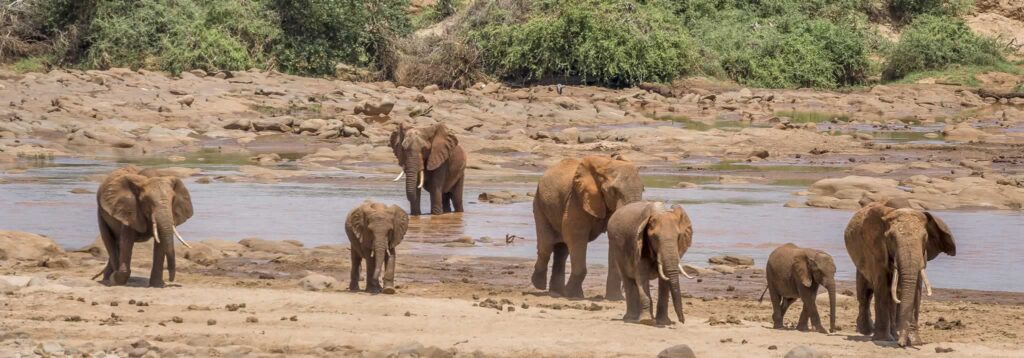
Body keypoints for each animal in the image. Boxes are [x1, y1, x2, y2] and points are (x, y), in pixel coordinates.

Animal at [532, 155, 643, 298]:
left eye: (643, 189)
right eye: (614, 191)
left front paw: (615, 298)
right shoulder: (576, 199)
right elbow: (576, 235)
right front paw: (573, 295)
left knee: (562, 250)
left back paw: (557, 292)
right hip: (540, 204)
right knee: (546, 246)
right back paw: (539, 285)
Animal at [843, 200, 954, 345]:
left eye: (925, 238)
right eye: (891, 238)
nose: (901, 344)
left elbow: (916, 288)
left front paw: (915, 342)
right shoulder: (876, 249)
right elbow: (882, 286)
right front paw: (883, 339)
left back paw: (893, 334)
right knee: (865, 291)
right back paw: (866, 331)